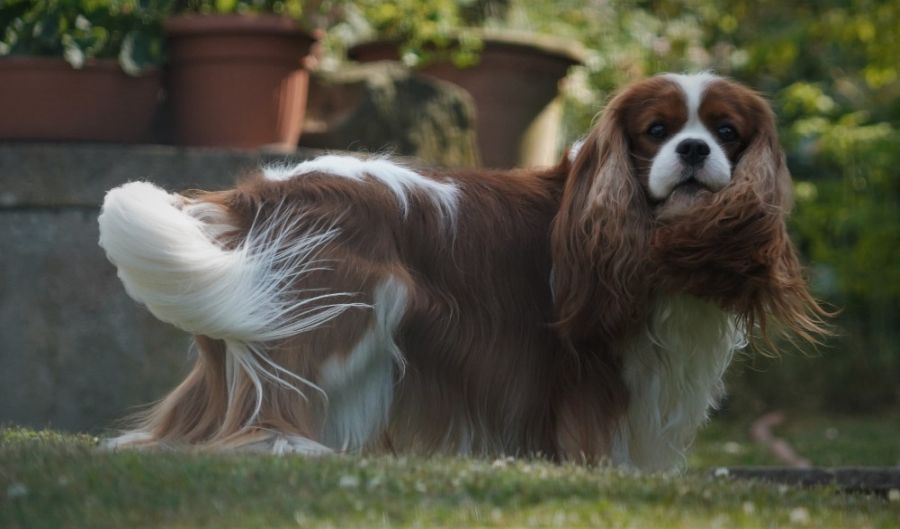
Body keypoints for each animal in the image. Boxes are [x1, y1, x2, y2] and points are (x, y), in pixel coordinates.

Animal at [98, 72, 827, 470]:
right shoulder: (590, 371)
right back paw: (286, 447)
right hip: (344, 312)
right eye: (656, 130)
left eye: (727, 132)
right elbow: (600, 442)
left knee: (187, 421)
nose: (695, 149)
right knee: (268, 406)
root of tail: (263, 191)